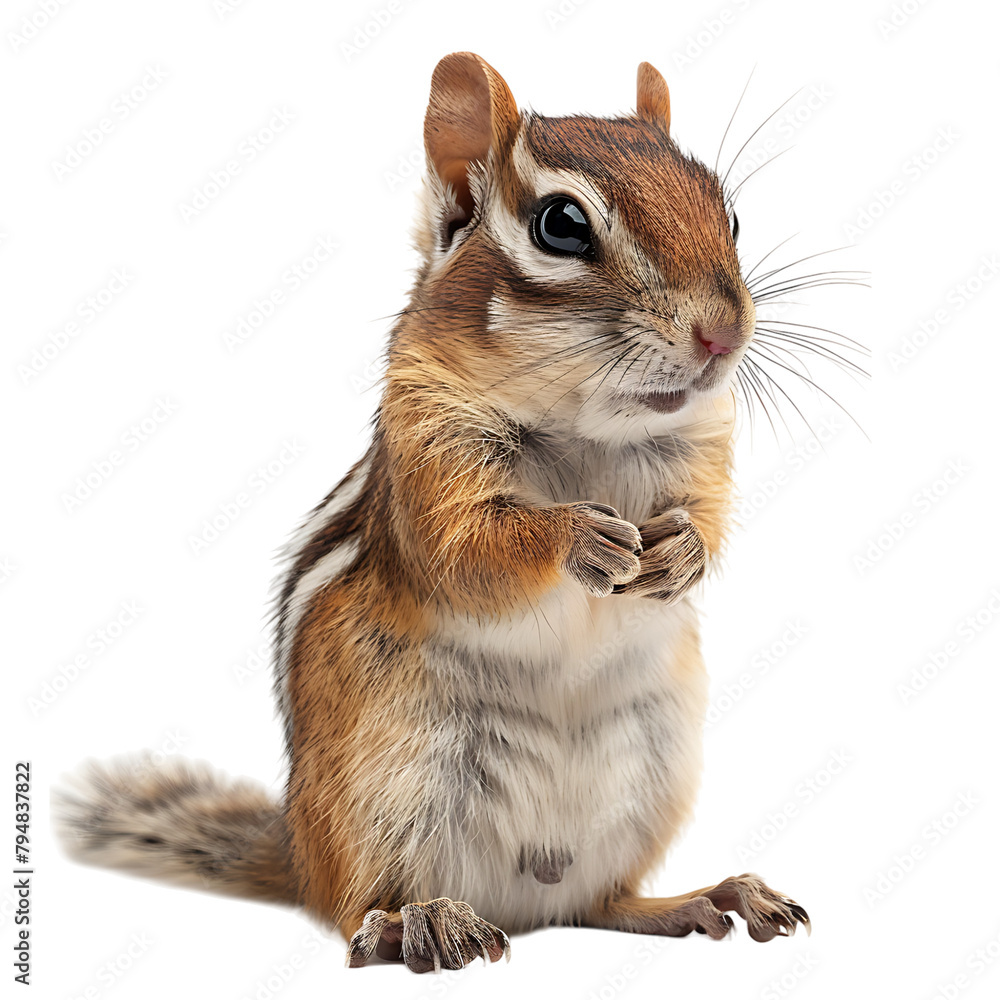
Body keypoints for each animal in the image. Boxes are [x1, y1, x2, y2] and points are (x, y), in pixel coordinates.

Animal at [55, 52, 810, 973]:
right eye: (561, 225)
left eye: (728, 213)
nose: (721, 334)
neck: (593, 428)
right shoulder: (428, 455)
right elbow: (468, 551)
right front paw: (579, 537)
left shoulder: (701, 448)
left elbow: (709, 515)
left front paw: (681, 553)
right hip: (393, 785)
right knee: (357, 911)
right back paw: (418, 921)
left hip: (652, 771)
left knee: (604, 900)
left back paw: (709, 896)